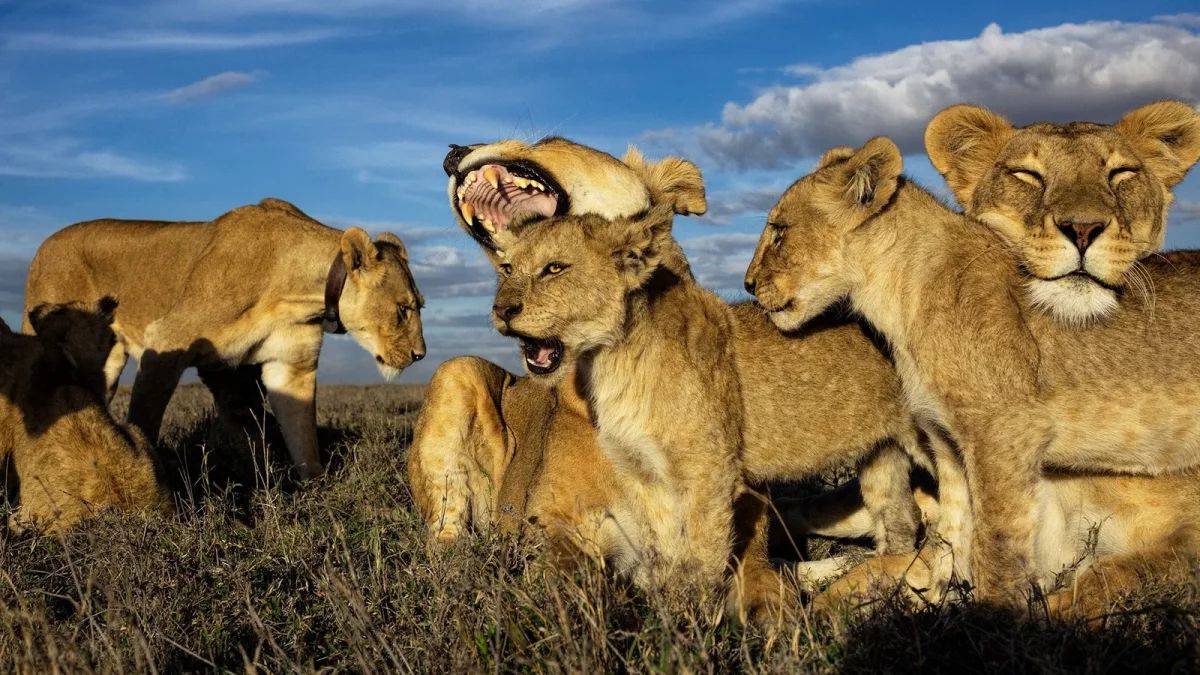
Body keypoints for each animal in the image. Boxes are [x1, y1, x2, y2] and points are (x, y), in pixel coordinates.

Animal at [24, 198, 426, 479]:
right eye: (404, 309)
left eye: (420, 305)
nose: (420, 355)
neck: (296, 293)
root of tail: (43, 245)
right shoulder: (164, 342)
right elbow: (144, 420)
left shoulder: (290, 366)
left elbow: (303, 438)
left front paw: (316, 490)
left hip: (105, 363)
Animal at [744, 137, 1200, 609]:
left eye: (779, 231)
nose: (748, 284)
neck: (898, 297)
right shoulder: (945, 439)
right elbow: (954, 536)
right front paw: (940, 602)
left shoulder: (1006, 434)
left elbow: (998, 544)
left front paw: (995, 616)